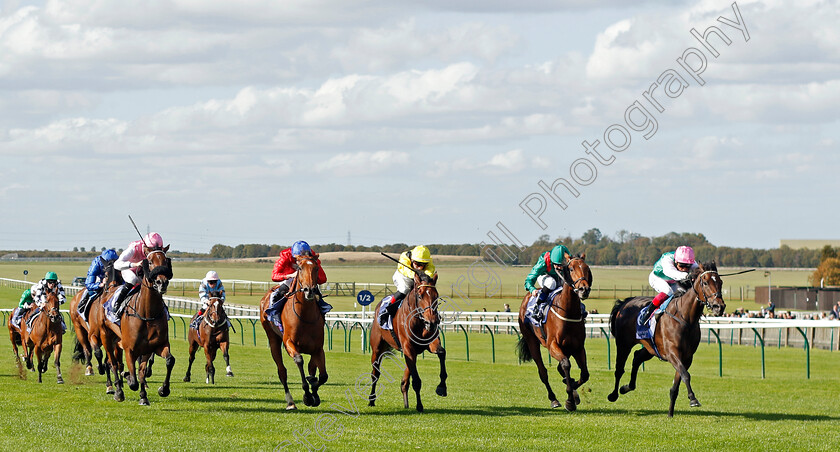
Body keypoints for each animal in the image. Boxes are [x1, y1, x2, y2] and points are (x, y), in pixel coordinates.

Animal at [260, 254, 328, 410]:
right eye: (300, 268)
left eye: (316, 268)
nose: (310, 290)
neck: (305, 316)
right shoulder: (289, 343)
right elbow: (299, 360)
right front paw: (307, 396)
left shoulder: (318, 348)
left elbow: (321, 376)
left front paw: (314, 392)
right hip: (273, 338)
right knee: (282, 371)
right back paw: (290, 402)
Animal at [368, 272, 446, 414]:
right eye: (420, 295)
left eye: (436, 296)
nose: (432, 322)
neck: (419, 321)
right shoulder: (408, 347)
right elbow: (416, 381)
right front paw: (419, 405)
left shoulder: (429, 344)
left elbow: (442, 353)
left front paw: (442, 387)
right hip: (377, 349)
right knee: (375, 374)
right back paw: (371, 400)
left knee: (405, 377)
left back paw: (405, 401)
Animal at [516, 254, 592, 414]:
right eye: (571, 268)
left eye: (587, 268)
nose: (584, 289)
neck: (567, 311)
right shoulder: (552, 345)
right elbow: (566, 364)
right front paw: (570, 400)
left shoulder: (578, 347)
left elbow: (584, 374)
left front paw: (573, 390)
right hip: (532, 341)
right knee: (543, 372)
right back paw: (554, 399)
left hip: (567, 348)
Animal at [608, 262, 724, 416]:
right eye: (705, 282)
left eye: (720, 282)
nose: (719, 307)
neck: (685, 317)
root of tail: (625, 302)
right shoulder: (672, 353)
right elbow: (686, 375)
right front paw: (693, 399)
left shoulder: (687, 357)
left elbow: (677, 383)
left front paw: (670, 413)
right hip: (623, 343)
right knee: (619, 369)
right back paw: (613, 394)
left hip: (650, 348)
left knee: (637, 357)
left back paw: (626, 387)